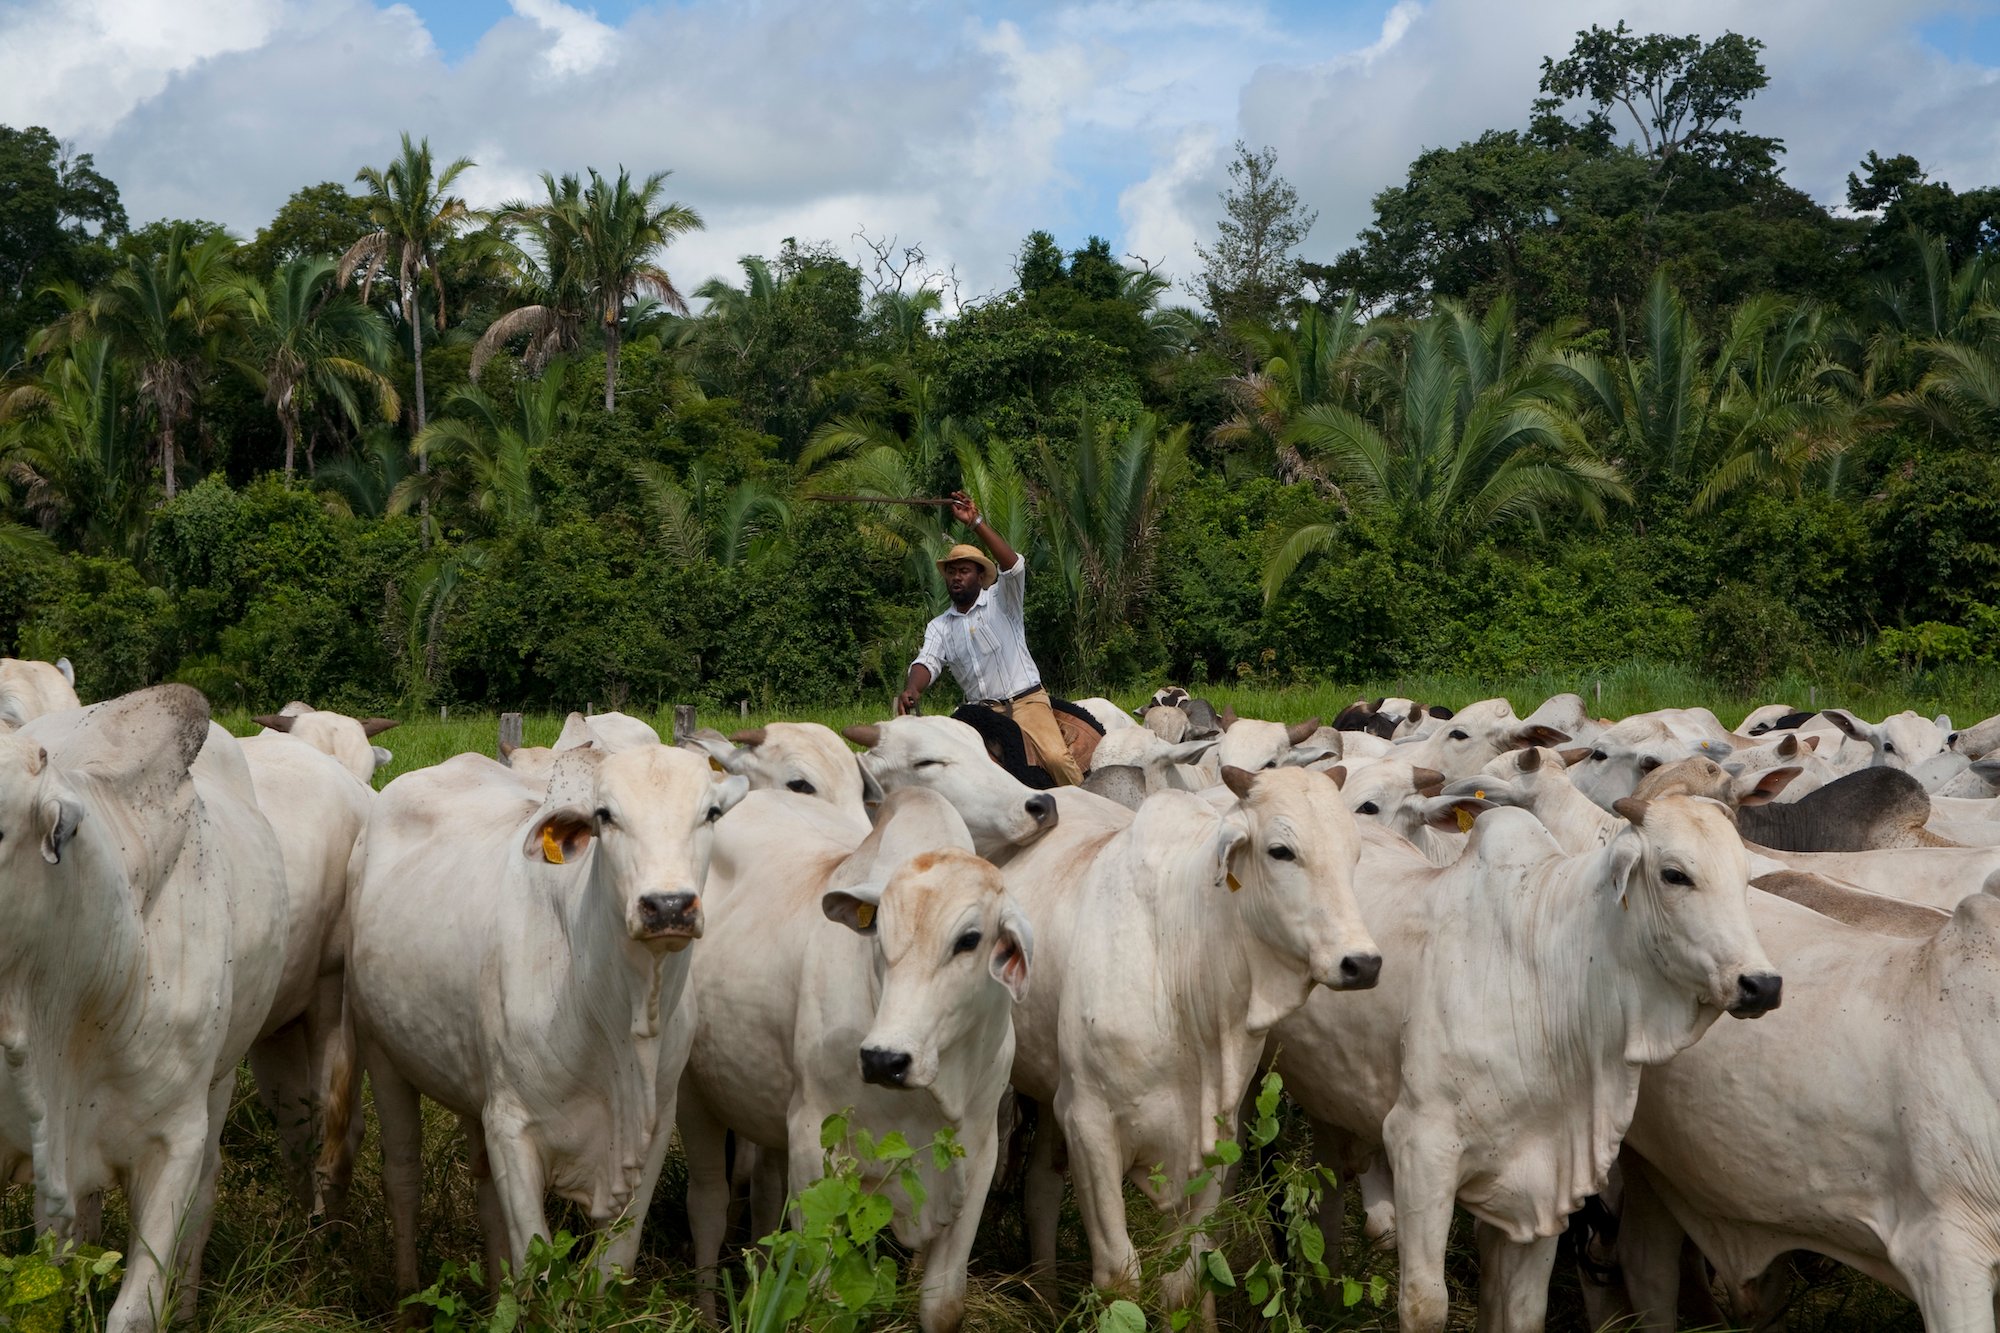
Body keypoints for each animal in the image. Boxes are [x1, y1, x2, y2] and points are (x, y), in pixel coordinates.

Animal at [348, 740, 748, 1280]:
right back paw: (406, 1293)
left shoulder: (648, 1137)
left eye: (710, 813)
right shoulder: (511, 1128)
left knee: (484, 1193)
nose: (668, 906)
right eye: (606, 815)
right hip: (380, 1051)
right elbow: (534, 1271)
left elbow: (610, 1271)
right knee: (403, 1179)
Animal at [684, 788, 1032, 1328]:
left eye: (969, 940)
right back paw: (707, 1312)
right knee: (707, 1205)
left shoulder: (978, 1152)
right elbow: (823, 1302)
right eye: (879, 937)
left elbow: (943, 1305)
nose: (884, 1060)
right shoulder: (814, 1141)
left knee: (763, 1194)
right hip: (692, 1095)